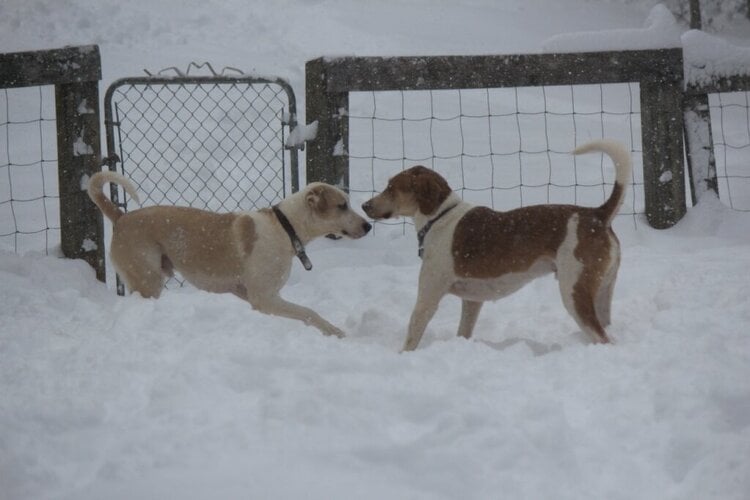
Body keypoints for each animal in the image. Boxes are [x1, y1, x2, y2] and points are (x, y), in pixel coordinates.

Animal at [89, 170, 372, 338]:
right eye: (342, 205)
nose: (368, 226)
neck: (284, 226)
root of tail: (121, 217)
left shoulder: (251, 295)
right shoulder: (264, 298)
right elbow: (309, 312)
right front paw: (335, 332)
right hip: (147, 280)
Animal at [362, 139, 632, 352]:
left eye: (391, 187)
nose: (364, 205)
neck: (439, 217)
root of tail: (597, 214)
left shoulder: (428, 296)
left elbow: (412, 333)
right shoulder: (472, 301)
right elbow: (463, 331)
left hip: (574, 292)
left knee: (602, 337)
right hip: (601, 291)